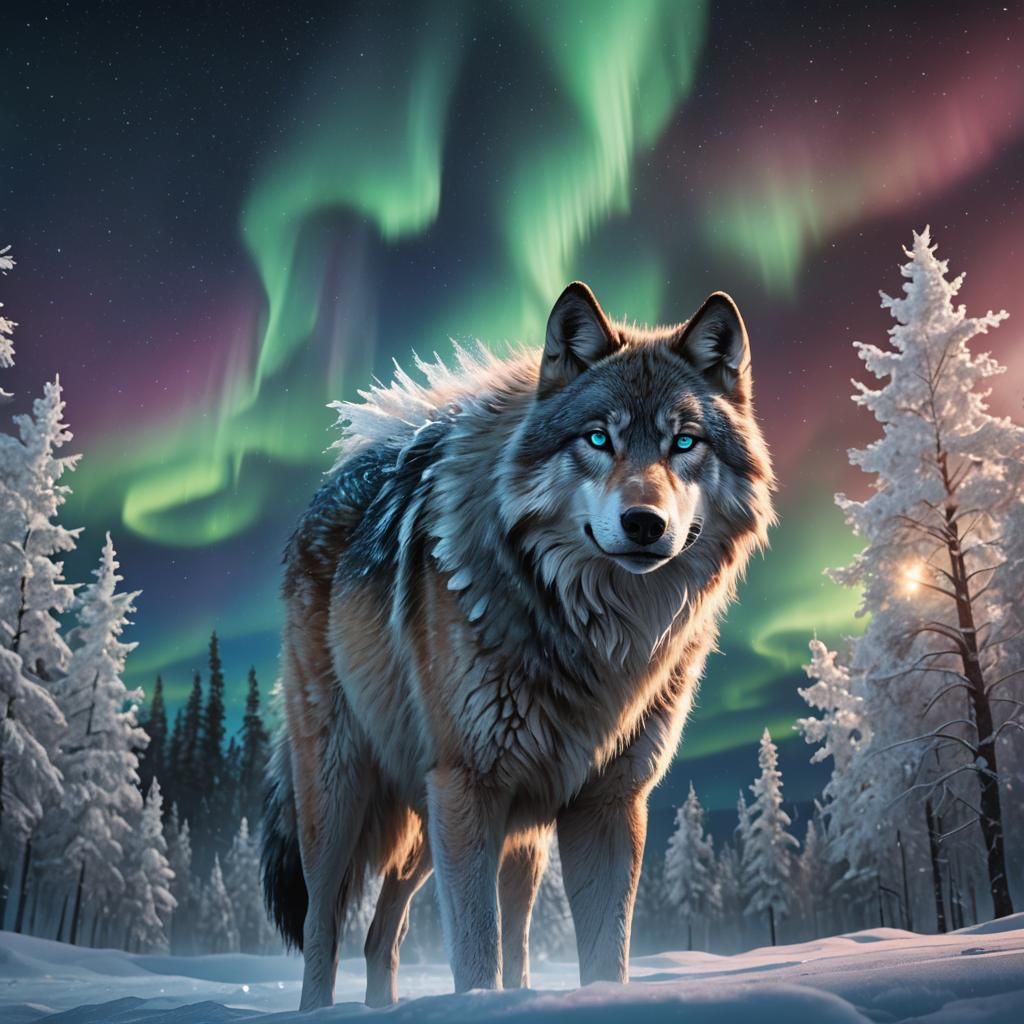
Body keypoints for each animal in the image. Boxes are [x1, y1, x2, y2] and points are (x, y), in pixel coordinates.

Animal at [261, 282, 774, 1010]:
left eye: (684, 442)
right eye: (598, 438)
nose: (644, 524)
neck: (596, 634)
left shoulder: (608, 804)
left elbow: (604, 957)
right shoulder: (469, 786)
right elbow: (477, 956)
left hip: (473, 826)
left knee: (390, 934)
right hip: (347, 799)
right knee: (324, 927)